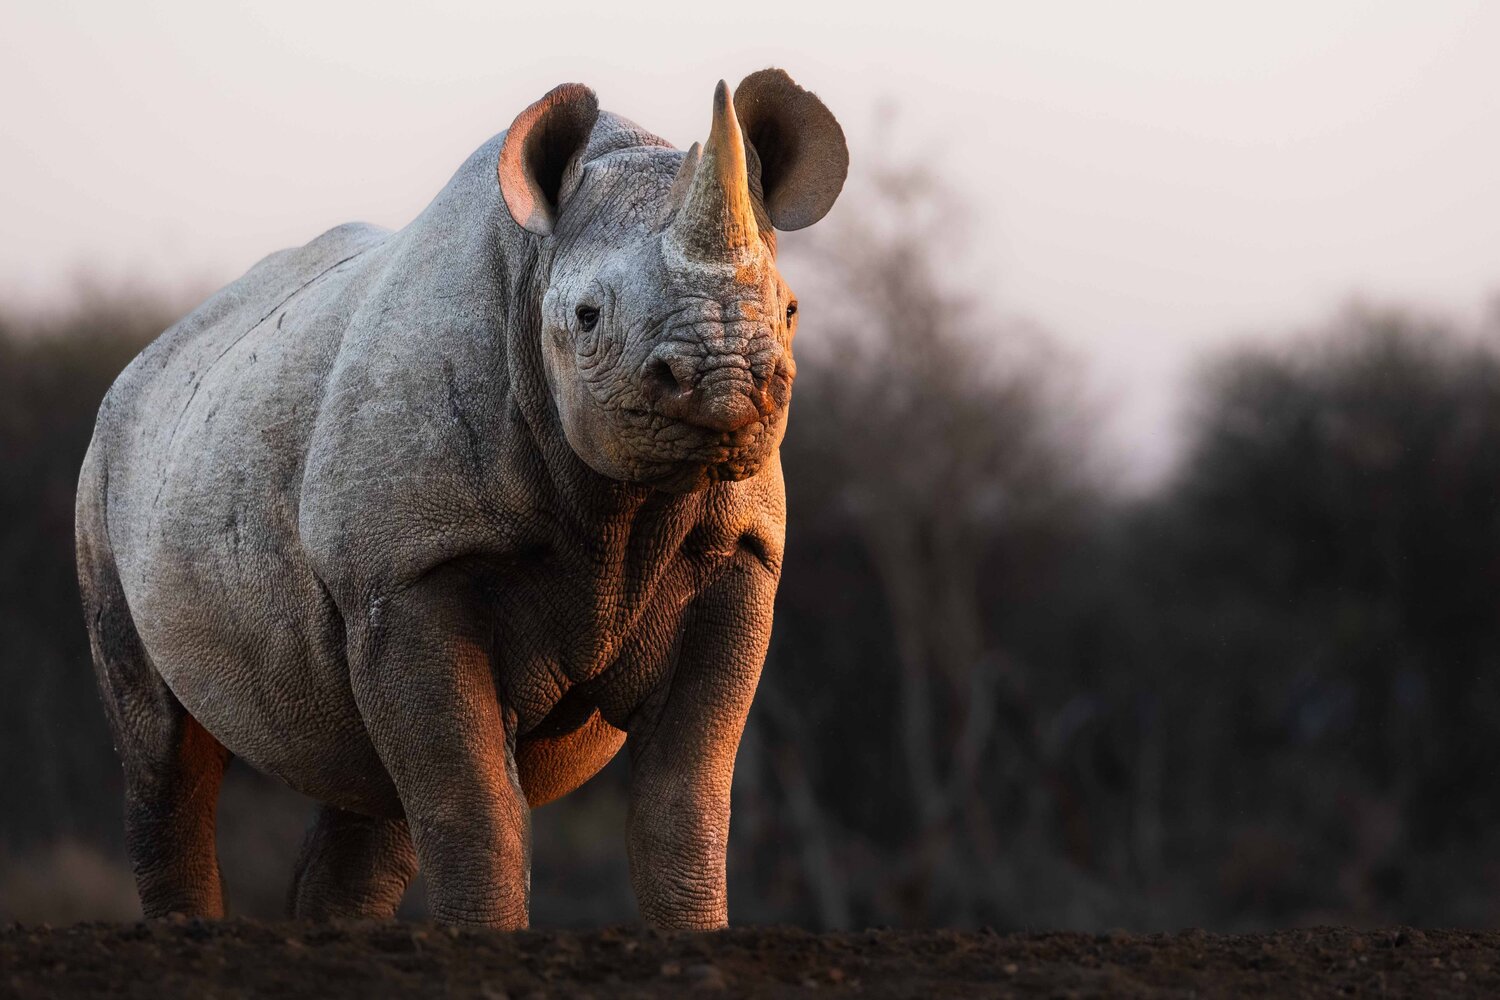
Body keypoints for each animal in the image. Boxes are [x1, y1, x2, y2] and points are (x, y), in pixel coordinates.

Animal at [74, 69, 847, 928]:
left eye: (790, 311)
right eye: (588, 317)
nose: (725, 382)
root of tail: (151, 356)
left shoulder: (741, 552)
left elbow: (684, 807)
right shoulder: (408, 569)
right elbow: (475, 806)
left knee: (368, 790)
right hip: (107, 466)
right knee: (165, 753)